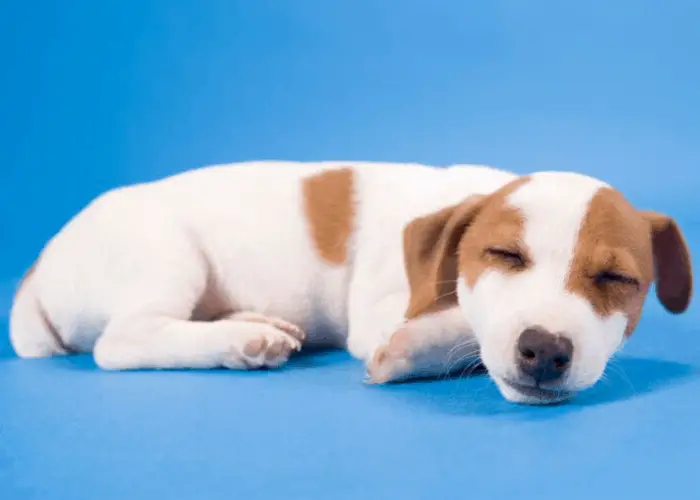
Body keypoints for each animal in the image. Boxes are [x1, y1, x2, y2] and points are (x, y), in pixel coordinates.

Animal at [8, 162, 692, 404]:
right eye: (502, 255)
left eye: (616, 278)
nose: (545, 351)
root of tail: (37, 272)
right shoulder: (383, 309)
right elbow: (461, 322)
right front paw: (417, 348)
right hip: (168, 256)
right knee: (122, 342)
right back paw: (239, 344)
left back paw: (255, 326)